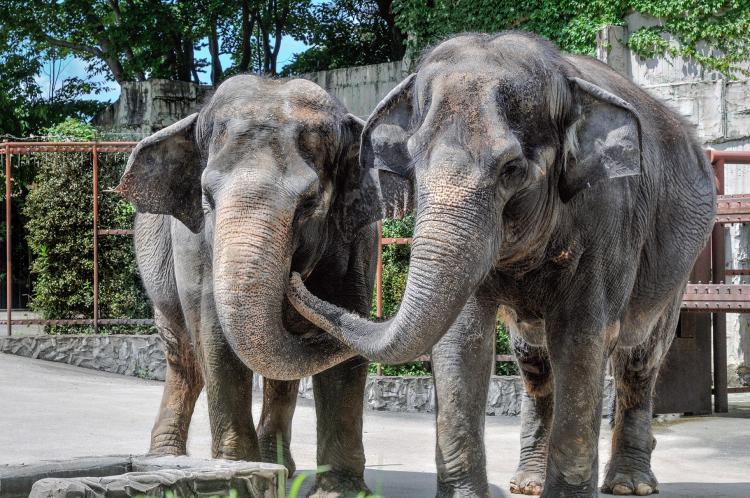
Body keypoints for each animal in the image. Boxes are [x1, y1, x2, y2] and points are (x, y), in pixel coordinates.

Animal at [118, 75, 388, 498]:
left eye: (309, 202)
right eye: (207, 198)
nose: (294, 281)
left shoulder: (355, 240)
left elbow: (347, 343)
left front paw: (338, 491)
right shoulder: (197, 246)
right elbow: (215, 338)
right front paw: (236, 475)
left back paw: (280, 467)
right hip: (154, 260)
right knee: (184, 354)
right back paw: (167, 460)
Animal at [286, 32, 716, 498]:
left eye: (512, 168)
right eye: (413, 162)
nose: (292, 275)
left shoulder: (608, 215)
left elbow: (582, 337)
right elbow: (461, 338)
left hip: (680, 262)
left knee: (640, 356)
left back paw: (628, 485)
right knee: (533, 361)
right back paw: (527, 482)